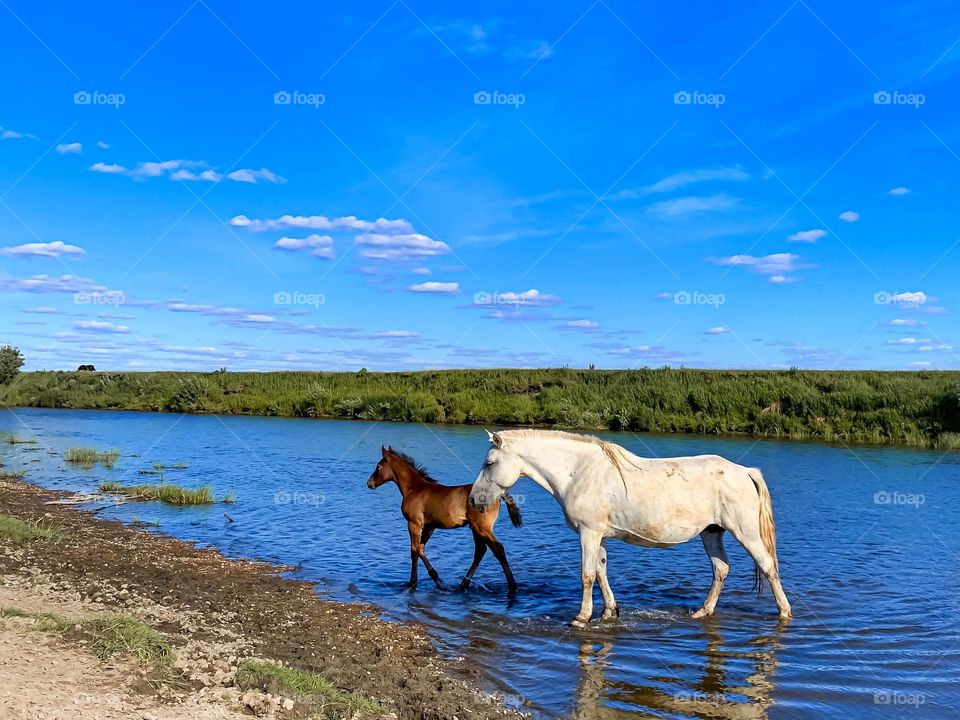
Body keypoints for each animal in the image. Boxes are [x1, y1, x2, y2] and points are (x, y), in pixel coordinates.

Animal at [368, 448, 520, 592]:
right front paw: (436, 578)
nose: (369, 483)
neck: (414, 489)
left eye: (378, 466)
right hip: (475, 528)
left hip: (482, 527)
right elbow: (421, 549)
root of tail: (499, 494)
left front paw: (412, 582)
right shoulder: (430, 526)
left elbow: (414, 550)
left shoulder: (414, 523)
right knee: (480, 551)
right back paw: (463, 584)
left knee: (498, 549)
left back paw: (512, 585)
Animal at [468, 430, 792, 628]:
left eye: (490, 462)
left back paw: (784, 613)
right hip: (711, 532)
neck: (579, 472)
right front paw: (610, 612)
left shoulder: (588, 533)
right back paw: (704, 611)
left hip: (745, 533)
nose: (474, 499)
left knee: (767, 566)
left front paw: (582, 617)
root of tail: (745, 471)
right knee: (721, 569)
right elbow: (601, 571)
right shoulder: (598, 534)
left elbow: (587, 575)